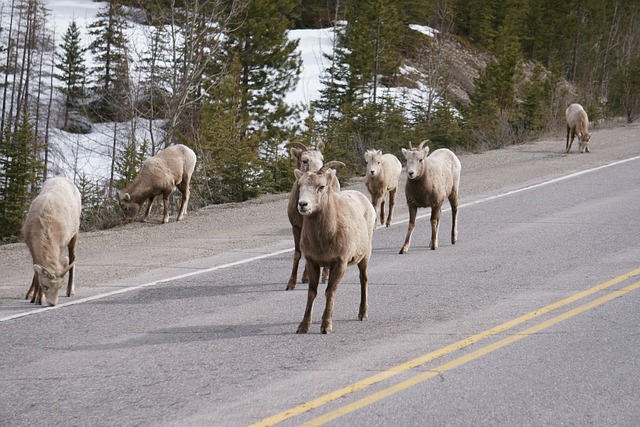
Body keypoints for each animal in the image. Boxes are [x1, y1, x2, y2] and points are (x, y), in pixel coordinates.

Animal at [22, 178, 82, 308]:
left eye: (60, 287)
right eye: (46, 286)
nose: (52, 304)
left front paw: (39, 299)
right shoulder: (31, 248)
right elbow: (36, 272)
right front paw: (31, 296)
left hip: (75, 234)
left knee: (73, 257)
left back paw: (70, 291)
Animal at [294, 162, 378, 332]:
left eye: (321, 186)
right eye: (300, 185)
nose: (303, 205)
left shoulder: (340, 263)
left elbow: (330, 291)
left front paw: (326, 326)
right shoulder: (312, 263)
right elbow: (312, 293)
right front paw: (304, 327)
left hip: (365, 256)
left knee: (363, 279)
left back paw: (362, 314)